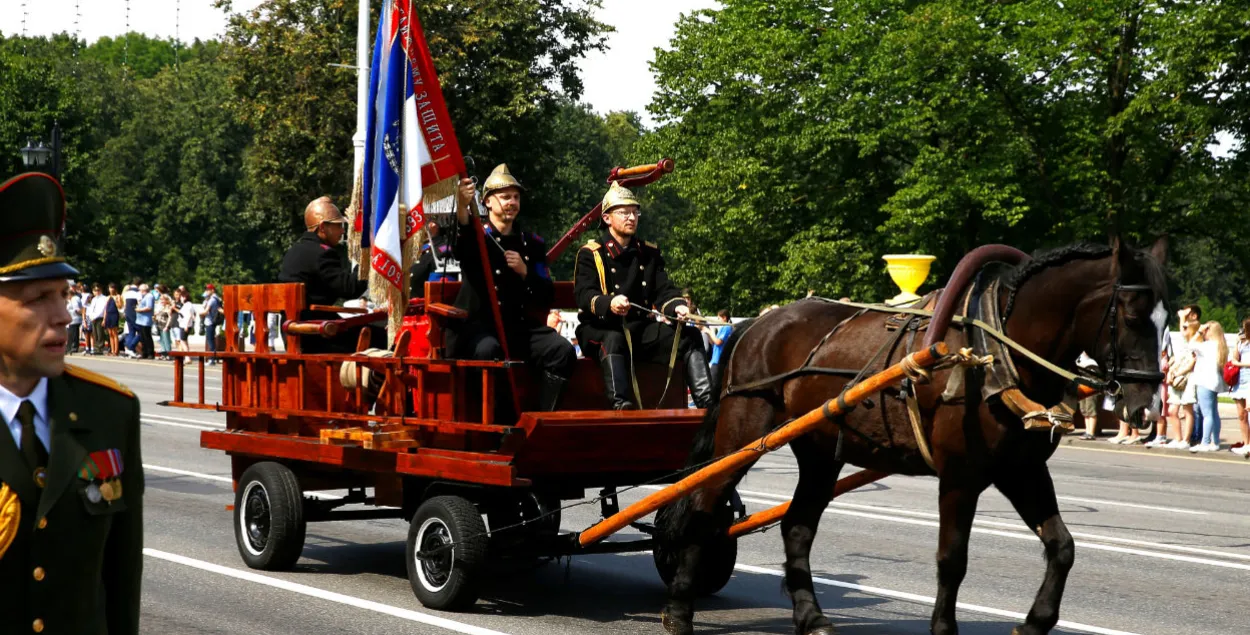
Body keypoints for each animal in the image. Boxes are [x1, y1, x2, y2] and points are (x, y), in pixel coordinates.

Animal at [655, 237, 1170, 635]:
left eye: (1166, 321)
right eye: (1131, 314)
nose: (1146, 408)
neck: (995, 351)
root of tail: (752, 326)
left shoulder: (1022, 469)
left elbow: (1061, 546)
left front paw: (1035, 622)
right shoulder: (961, 476)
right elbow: (952, 558)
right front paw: (944, 628)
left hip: (820, 453)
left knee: (796, 528)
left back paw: (811, 617)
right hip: (742, 434)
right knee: (702, 507)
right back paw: (680, 609)